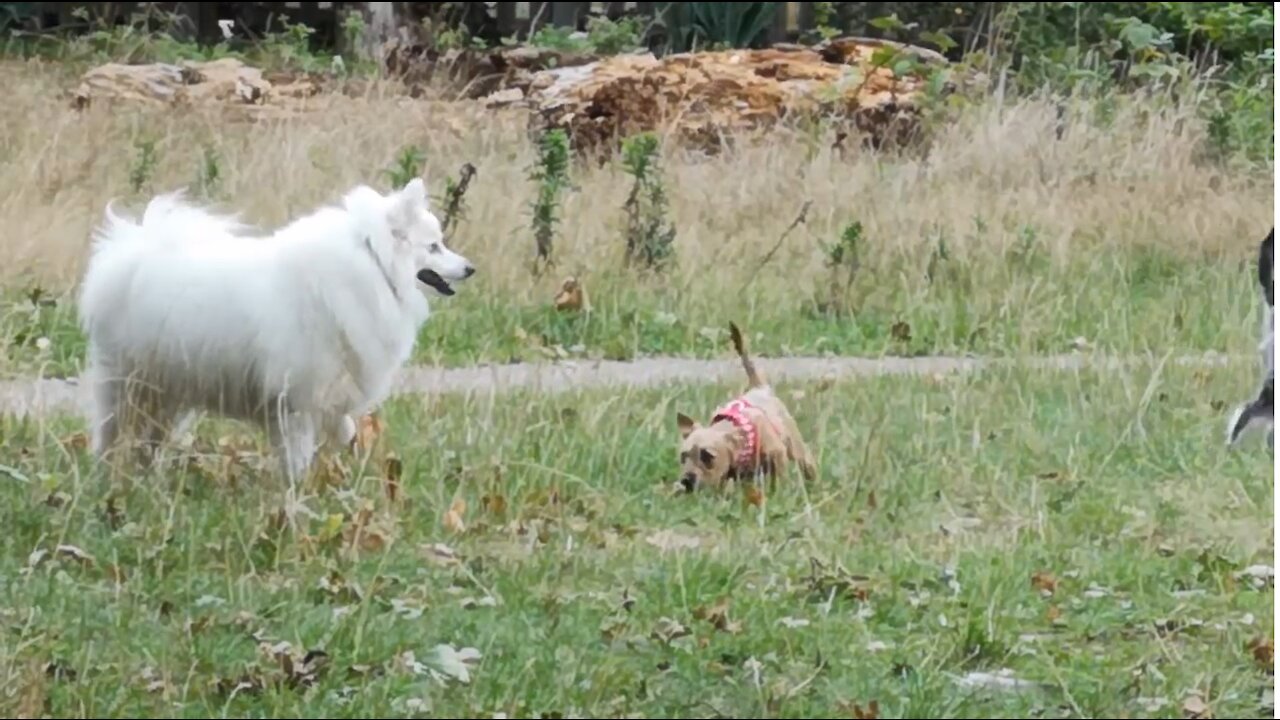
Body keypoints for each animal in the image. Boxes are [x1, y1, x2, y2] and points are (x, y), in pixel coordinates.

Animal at [76, 176, 476, 484]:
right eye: (434, 247)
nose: (470, 268)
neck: (372, 264)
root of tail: (132, 255)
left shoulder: (328, 390)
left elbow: (345, 428)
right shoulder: (296, 399)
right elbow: (298, 454)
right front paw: (297, 492)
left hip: (167, 390)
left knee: (149, 439)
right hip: (128, 384)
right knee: (109, 432)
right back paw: (105, 475)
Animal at [675, 322, 814, 489]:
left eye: (708, 457)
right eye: (683, 457)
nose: (686, 481)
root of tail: (758, 387)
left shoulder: (777, 454)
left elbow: (780, 479)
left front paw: (780, 491)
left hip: (795, 446)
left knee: (806, 461)